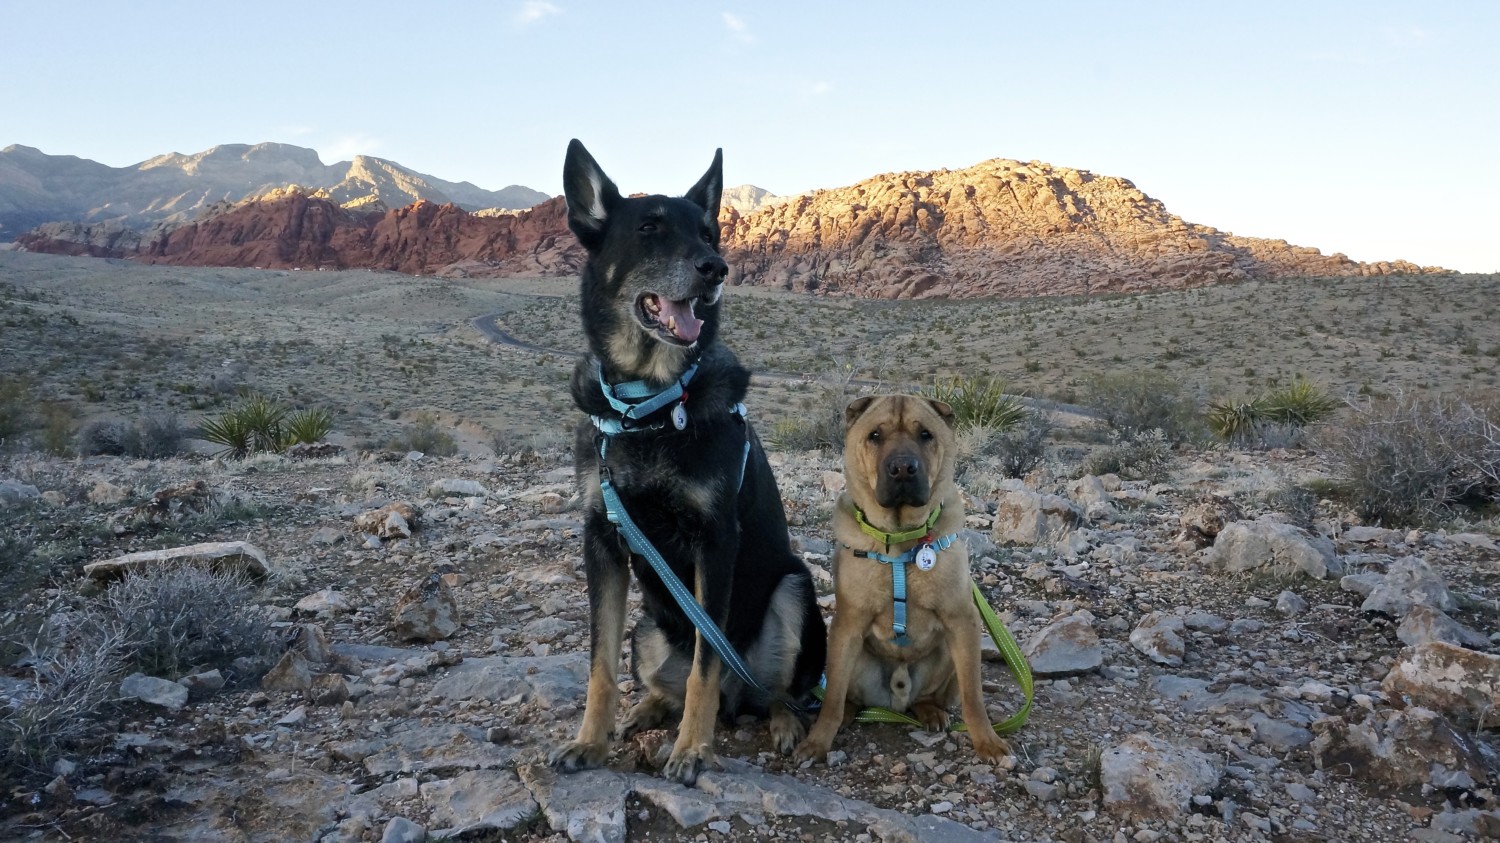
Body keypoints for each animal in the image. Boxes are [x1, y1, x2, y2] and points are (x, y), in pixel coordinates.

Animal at [549, 139, 834, 780]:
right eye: (649, 228)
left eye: (708, 233)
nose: (716, 269)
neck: (648, 405)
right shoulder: (601, 538)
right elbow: (599, 664)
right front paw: (589, 739)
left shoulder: (714, 539)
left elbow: (708, 660)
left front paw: (692, 751)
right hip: (647, 632)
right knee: (667, 684)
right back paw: (646, 710)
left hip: (793, 593)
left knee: (771, 690)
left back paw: (778, 722)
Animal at [798, 393, 1008, 762]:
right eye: (875, 436)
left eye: (925, 435)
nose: (902, 469)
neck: (899, 540)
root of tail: (896, 697)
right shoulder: (848, 624)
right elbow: (833, 698)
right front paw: (818, 741)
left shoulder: (962, 619)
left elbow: (973, 697)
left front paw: (987, 741)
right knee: (845, 696)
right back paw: (851, 712)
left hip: (946, 655)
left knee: (933, 696)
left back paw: (931, 712)